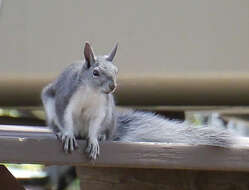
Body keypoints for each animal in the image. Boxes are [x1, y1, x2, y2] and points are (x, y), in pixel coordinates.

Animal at [41, 42, 245, 160]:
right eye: (95, 72)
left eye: (116, 70)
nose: (112, 87)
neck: (92, 92)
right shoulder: (65, 99)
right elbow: (65, 118)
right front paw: (67, 134)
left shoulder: (101, 110)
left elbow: (94, 126)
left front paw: (93, 140)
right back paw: (59, 133)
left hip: (110, 117)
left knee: (106, 132)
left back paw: (101, 137)